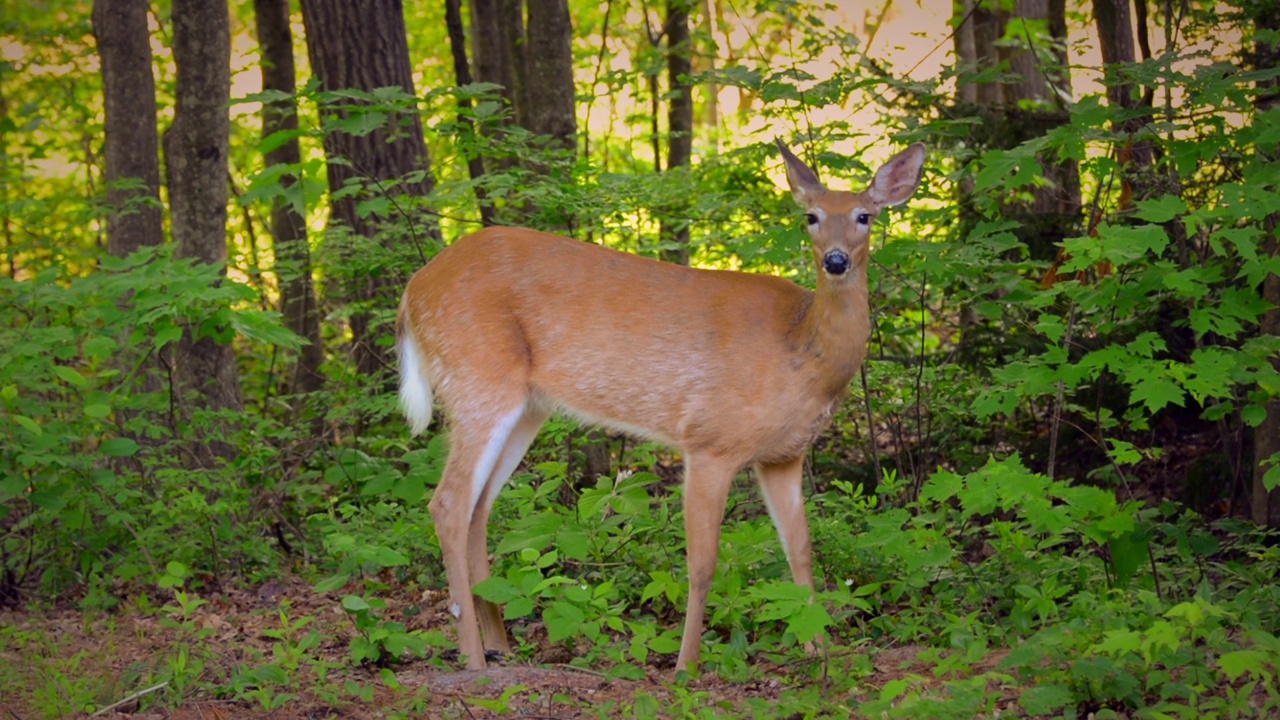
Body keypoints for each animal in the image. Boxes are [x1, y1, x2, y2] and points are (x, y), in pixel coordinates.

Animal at [394, 137, 926, 671]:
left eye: (864, 216)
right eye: (811, 217)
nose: (836, 261)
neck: (803, 354)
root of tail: (411, 291)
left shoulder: (784, 454)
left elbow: (800, 549)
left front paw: (820, 651)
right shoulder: (710, 439)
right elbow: (703, 564)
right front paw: (686, 667)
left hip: (527, 407)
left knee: (479, 507)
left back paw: (501, 644)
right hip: (478, 379)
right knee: (448, 503)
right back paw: (474, 660)